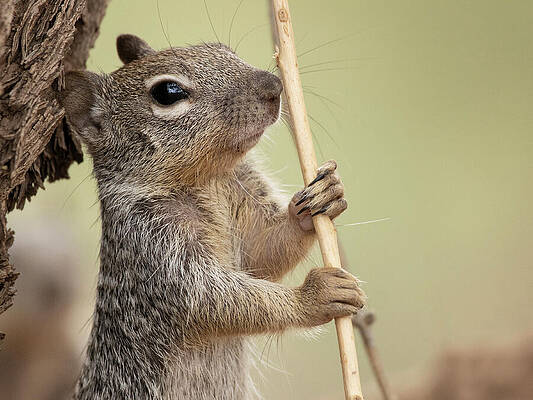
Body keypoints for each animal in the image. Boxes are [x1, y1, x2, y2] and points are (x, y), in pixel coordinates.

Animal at [60, 34, 364, 400]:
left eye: (224, 50)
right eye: (168, 92)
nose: (273, 85)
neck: (208, 180)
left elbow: (263, 252)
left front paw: (322, 194)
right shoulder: (158, 254)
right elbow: (219, 300)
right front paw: (316, 295)